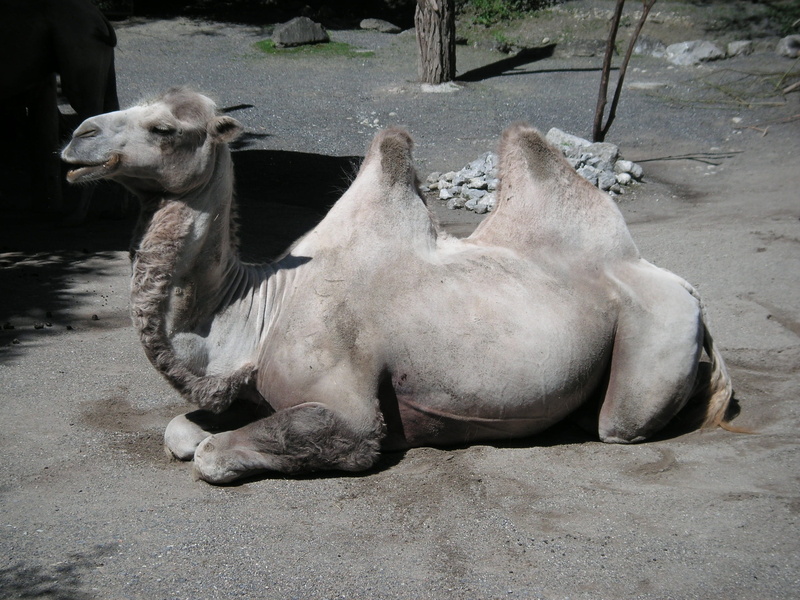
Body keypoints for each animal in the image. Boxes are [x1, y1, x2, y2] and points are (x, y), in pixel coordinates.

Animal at [61, 88, 734, 484]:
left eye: (166, 129)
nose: (77, 136)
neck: (259, 311)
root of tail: (682, 284)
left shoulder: (348, 411)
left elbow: (211, 454)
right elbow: (180, 431)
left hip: (656, 330)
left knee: (621, 423)